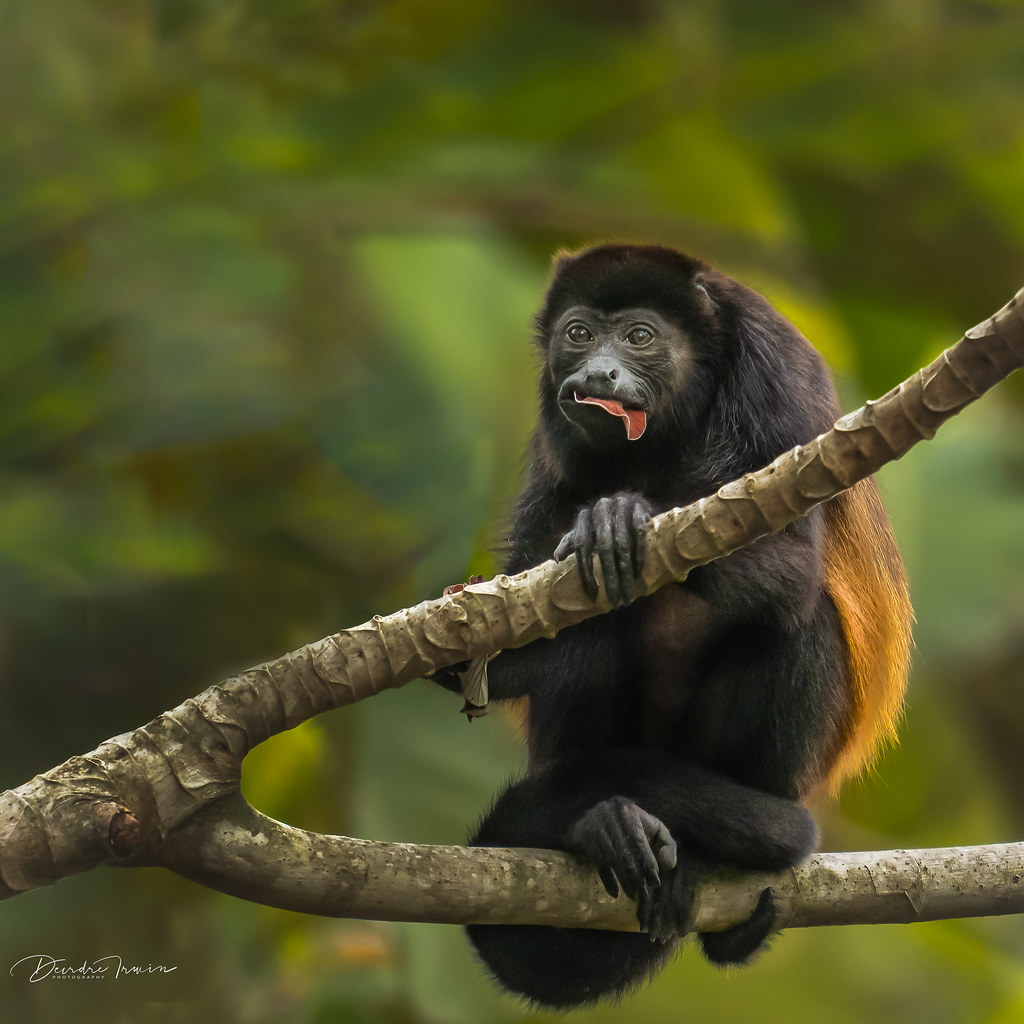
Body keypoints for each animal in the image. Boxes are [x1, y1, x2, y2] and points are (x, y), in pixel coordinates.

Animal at [434, 244, 913, 1008]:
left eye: (639, 336)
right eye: (578, 334)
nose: (597, 373)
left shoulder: (781, 372)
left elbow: (792, 564)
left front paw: (620, 516)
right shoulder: (552, 432)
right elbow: (530, 597)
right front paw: (466, 643)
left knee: (797, 624)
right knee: (595, 633)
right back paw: (604, 824)